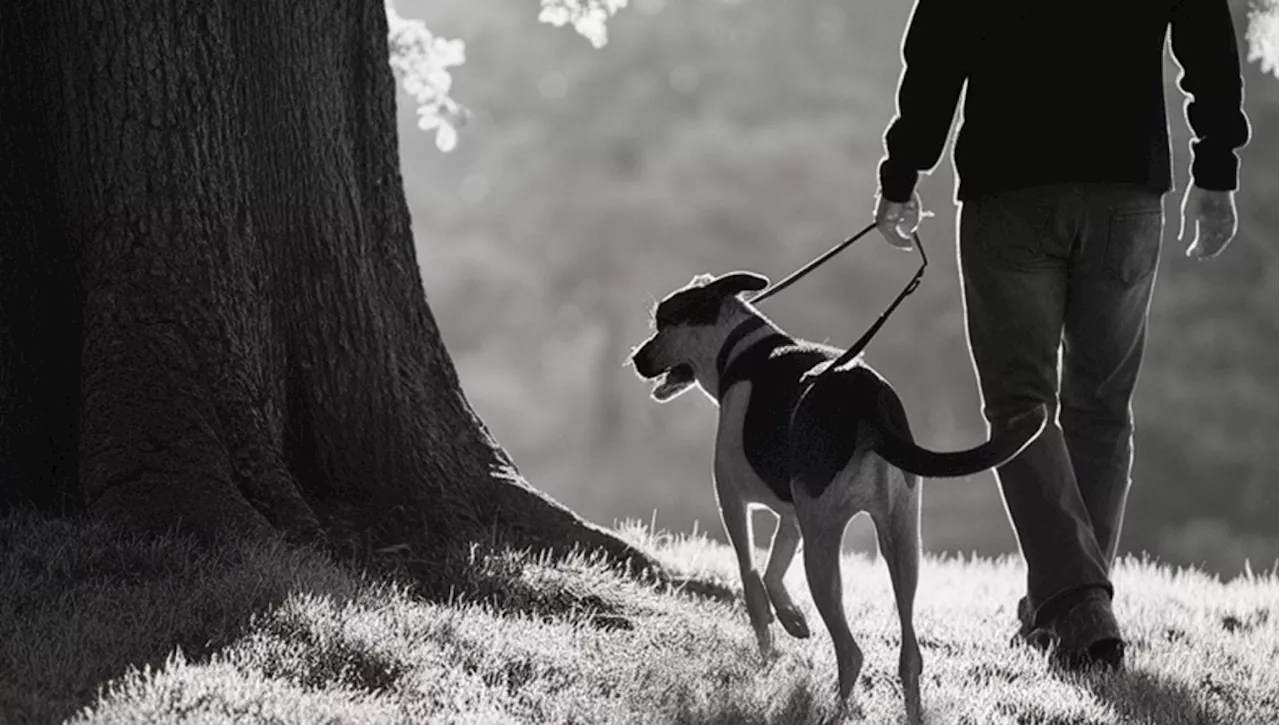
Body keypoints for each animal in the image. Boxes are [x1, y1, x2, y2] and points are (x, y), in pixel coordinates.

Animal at [629, 272, 1049, 722]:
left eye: (663, 322)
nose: (636, 359)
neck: (740, 349)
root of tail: (868, 402)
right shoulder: (795, 516)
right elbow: (774, 571)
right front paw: (793, 619)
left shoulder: (733, 501)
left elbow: (752, 578)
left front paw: (770, 645)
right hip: (900, 539)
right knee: (910, 655)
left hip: (823, 545)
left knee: (851, 652)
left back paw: (837, 707)